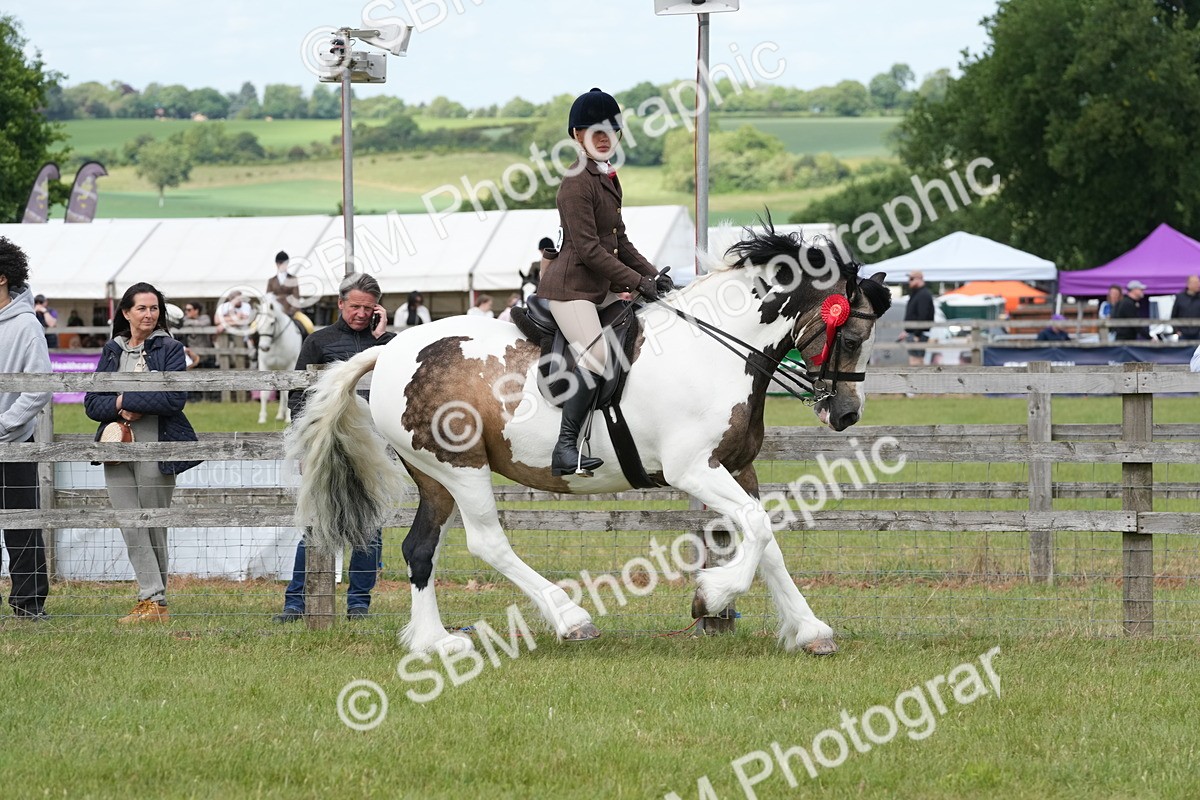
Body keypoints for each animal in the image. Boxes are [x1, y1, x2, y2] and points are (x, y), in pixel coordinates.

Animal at [254, 294, 303, 424]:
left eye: (272, 323)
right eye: (257, 322)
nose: (264, 348)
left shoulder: (291, 366)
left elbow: (288, 392)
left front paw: (288, 418)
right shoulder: (265, 366)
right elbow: (264, 393)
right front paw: (262, 418)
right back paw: (280, 415)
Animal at [287, 225, 891, 656]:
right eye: (851, 336)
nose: (846, 413)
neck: (715, 347)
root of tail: (389, 350)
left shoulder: (737, 467)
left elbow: (768, 539)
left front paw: (809, 629)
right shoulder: (693, 468)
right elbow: (760, 529)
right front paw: (711, 595)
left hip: (432, 475)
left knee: (420, 548)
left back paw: (436, 643)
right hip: (460, 467)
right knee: (487, 542)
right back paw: (571, 619)